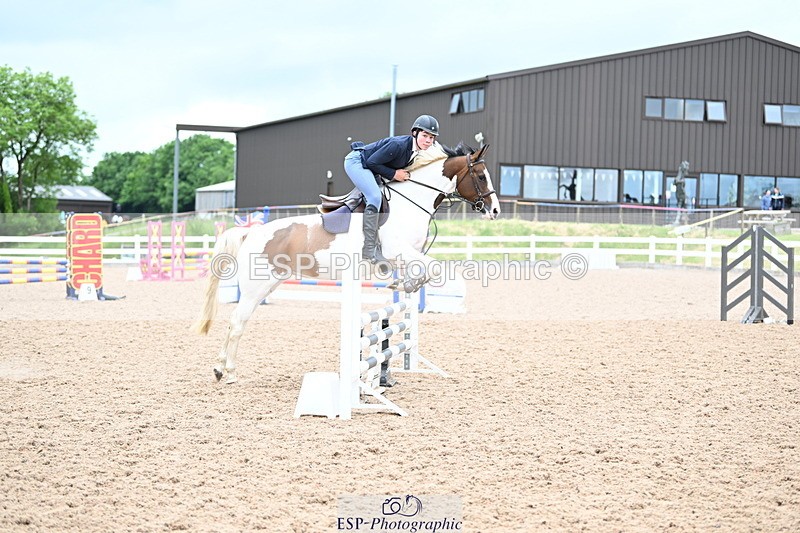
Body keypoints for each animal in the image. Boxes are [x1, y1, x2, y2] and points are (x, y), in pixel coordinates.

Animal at [194, 143, 500, 384]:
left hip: (268, 285)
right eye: (481, 176)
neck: (411, 203)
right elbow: (434, 267)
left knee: (238, 322)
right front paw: (406, 285)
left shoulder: (407, 254)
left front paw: (404, 284)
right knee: (237, 322)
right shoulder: (397, 250)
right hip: (255, 288)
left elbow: (425, 270)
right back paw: (228, 372)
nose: (495, 210)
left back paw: (221, 369)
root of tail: (251, 232)